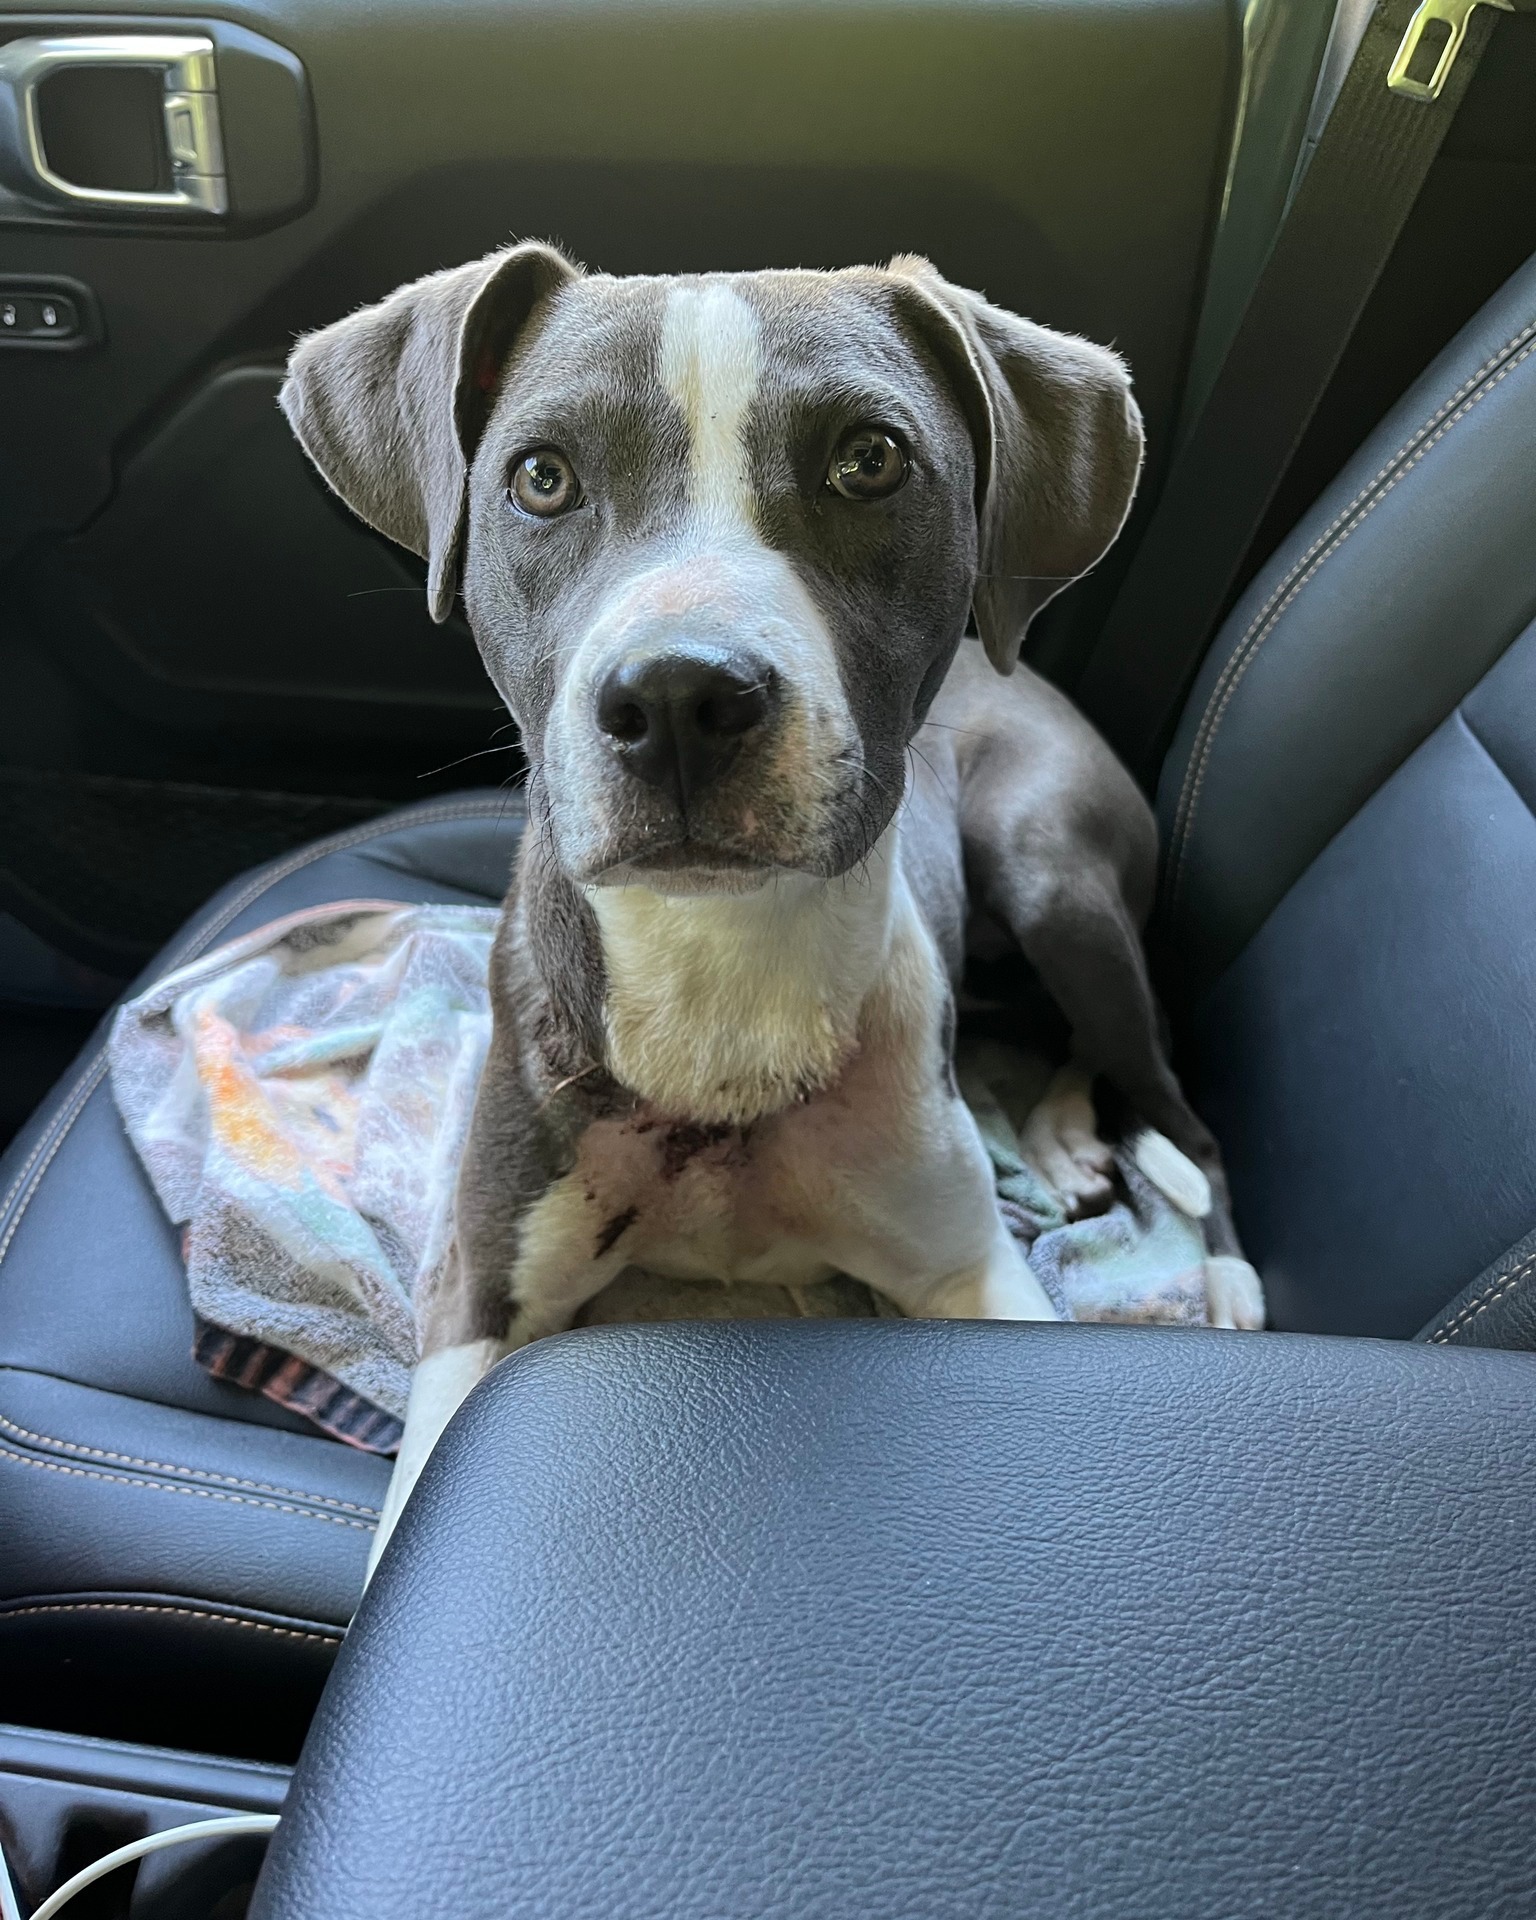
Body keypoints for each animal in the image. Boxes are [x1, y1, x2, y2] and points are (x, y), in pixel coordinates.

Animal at [278, 240, 1259, 1566]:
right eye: (541, 475)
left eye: (871, 459)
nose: (678, 696)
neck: (721, 964)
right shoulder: (477, 1296)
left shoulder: (972, 1275)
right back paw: (1059, 1133)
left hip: (1053, 873)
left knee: (1178, 1111)